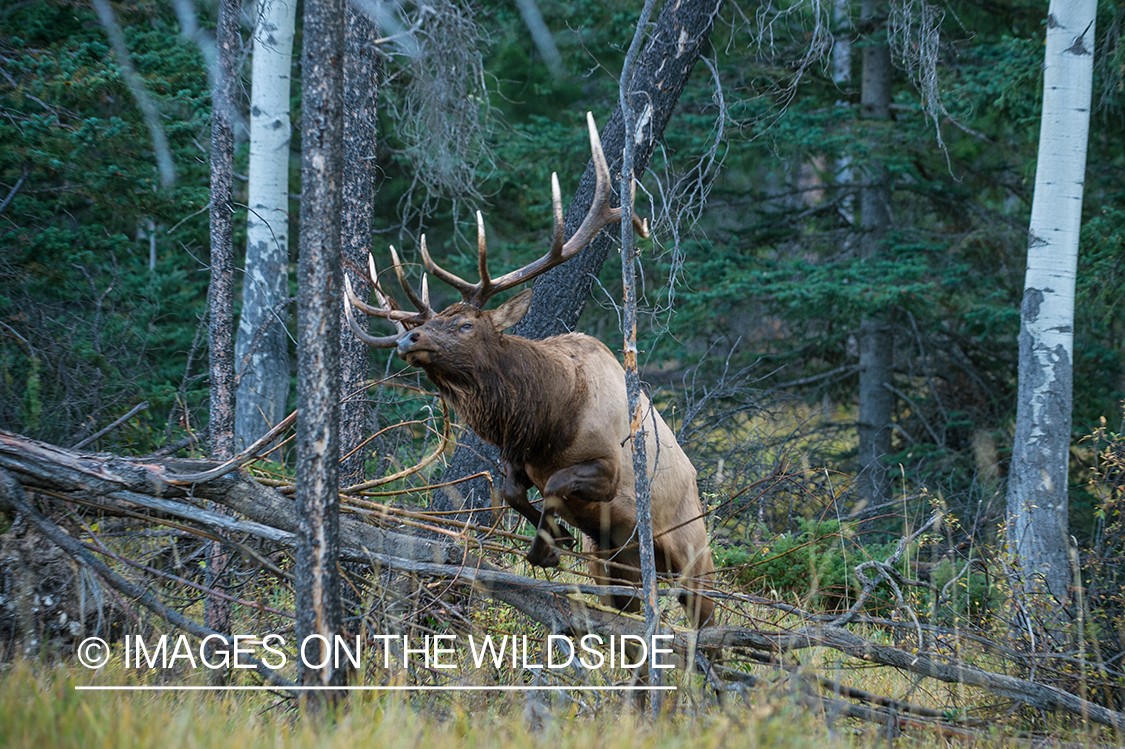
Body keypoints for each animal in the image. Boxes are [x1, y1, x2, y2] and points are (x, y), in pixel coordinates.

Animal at [342, 110, 715, 625]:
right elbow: (512, 491)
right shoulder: (518, 462)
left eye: (464, 324)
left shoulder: (610, 469)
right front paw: (554, 537)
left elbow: (557, 483)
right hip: (618, 565)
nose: (406, 338)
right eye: (431, 322)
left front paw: (548, 544)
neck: (547, 421)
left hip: (694, 551)